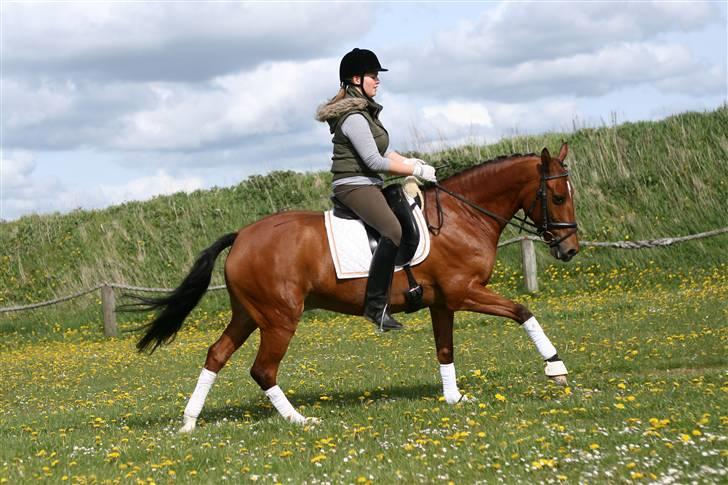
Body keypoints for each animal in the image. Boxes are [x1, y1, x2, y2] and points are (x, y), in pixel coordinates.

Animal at [125, 142, 580, 430]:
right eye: (558, 197)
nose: (570, 249)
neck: (460, 216)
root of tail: (241, 237)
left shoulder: (443, 302)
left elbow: (445, 349)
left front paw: (454, 398)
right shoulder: (463, 291)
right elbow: (522, 311)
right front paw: (556, 369)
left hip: (248, 315)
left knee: (217, 355)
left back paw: (189, 422)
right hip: (279, 317)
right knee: (263, 369)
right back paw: (299, 420)